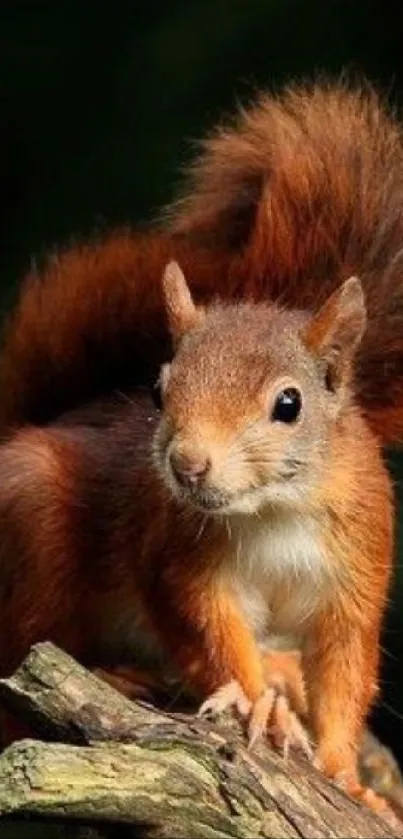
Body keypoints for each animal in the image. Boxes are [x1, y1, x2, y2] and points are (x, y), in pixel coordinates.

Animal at [0, 80, 403, 820]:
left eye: (288, 405)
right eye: (158, 391)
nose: (188, 465)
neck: (272, 512)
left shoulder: (355, 574)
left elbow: (344, 675)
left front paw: (346, 774)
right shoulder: (176, 564)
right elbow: (208, 639)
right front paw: (257, 705)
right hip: (34, 522)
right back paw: (117, 673)